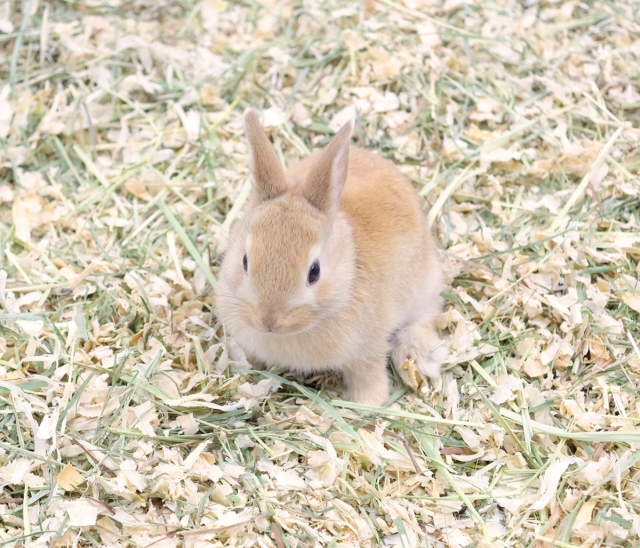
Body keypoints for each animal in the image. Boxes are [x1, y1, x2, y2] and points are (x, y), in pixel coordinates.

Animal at [215, 108, 444, 406]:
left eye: (314, 271)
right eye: (244, 261)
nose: (269, 321)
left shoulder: (367, 350)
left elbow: (368, 374)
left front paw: (365, 404)